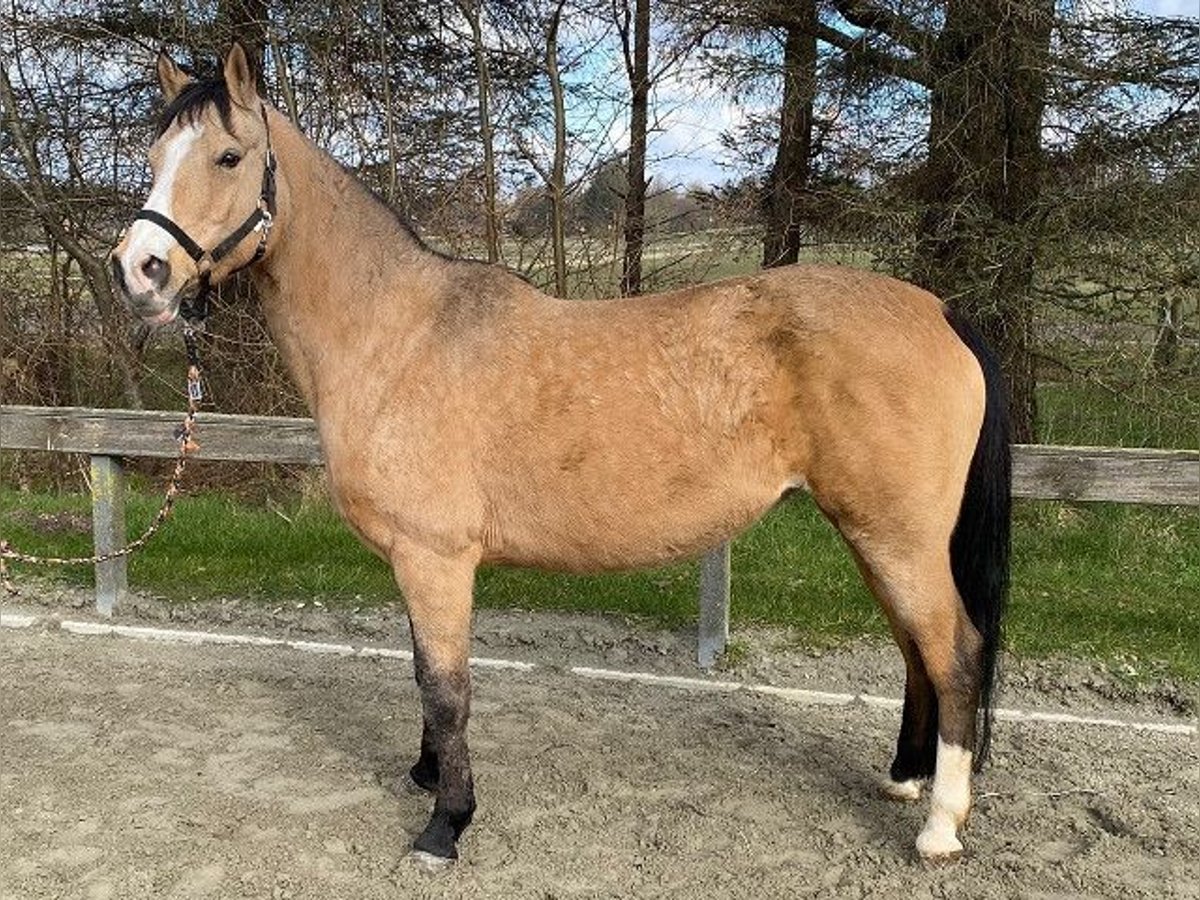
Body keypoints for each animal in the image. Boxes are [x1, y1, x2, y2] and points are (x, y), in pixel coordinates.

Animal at [112, 45, 1012, 868]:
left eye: (229, 157)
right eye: (153, 160)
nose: (138, 272)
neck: (397, 334)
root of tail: (940, 312)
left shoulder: (435, 558)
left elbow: (446, 688)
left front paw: (445, 824)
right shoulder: (415, 561)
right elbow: (423, 676)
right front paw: (425, 775)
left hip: (896, 537)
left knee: (954, 652)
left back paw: (940, 826)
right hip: (875, 536)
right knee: (915, 649)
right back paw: (905, 779)